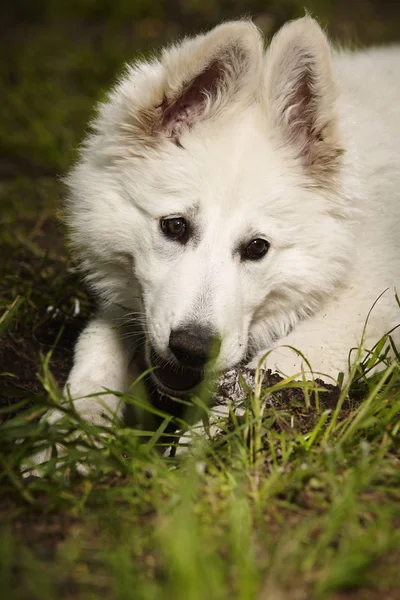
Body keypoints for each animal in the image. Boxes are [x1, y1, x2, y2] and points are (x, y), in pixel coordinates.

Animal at [54, 17, 400, 432]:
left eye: (257, 247)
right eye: (175, 226)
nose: (192, 349)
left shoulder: (366, 306)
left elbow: (266, 372)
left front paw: (202, 442)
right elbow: (96, 342)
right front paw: (72, 431)